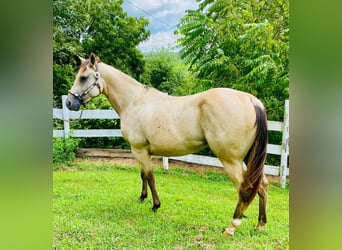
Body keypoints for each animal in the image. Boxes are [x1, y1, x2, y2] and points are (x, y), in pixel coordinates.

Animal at [65, 53, 268, 236]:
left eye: (83, 77)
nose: (69, 102)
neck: (134, 102)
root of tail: (250, 100)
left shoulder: (139, 150)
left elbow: (150, 176)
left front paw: (155, 205)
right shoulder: (142, 151)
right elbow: (143, 175)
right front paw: (142, 197)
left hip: (231, 160)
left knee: (245, 188)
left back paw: (232, 226)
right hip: (249, 159)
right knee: (262, 185)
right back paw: (260, 225)